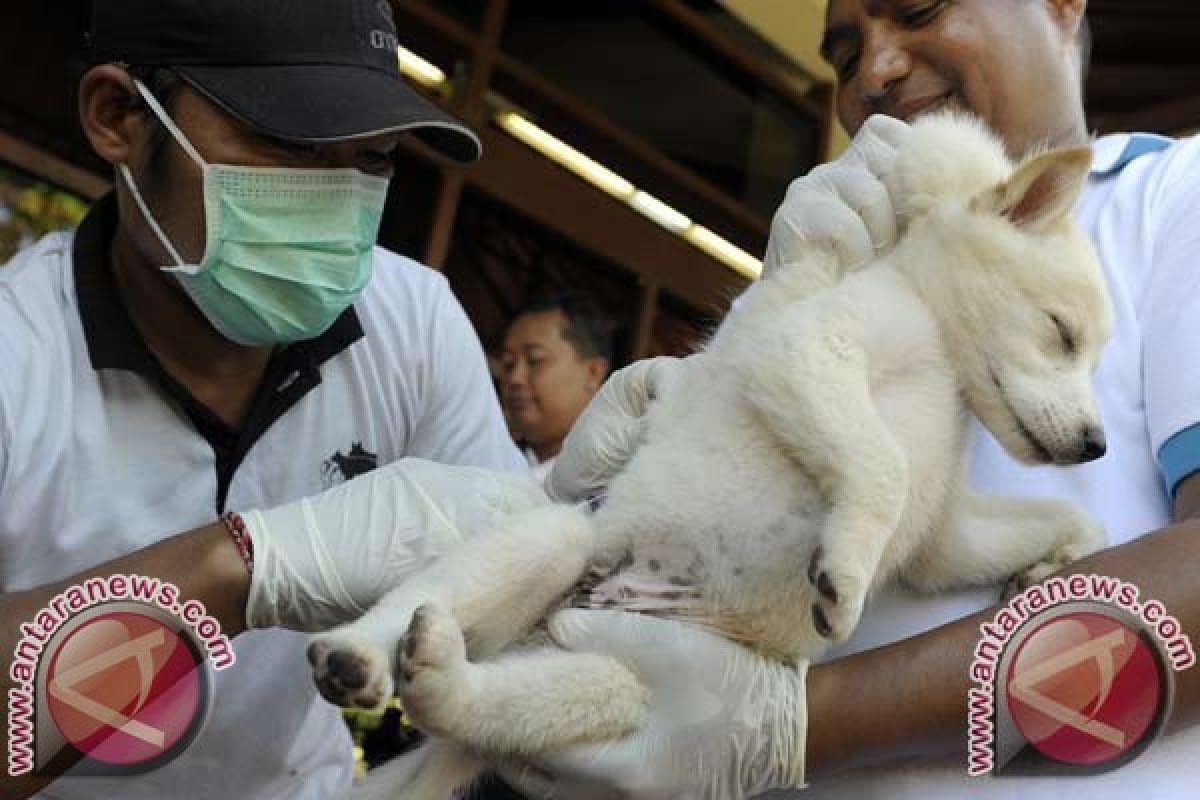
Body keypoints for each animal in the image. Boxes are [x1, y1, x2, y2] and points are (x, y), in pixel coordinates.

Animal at [314, 113, 1108, 800]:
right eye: (1062, 332)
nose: (1096, 444)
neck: (944, 363)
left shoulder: (941, 536)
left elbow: (1050, 517)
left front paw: (1060, 562)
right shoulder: (806, 349)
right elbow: (883, 468)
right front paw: (846, 574)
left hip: (620, 686)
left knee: (486, 707)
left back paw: (440, 680)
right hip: (559, 540)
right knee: (411, 606)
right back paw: (355, 655)